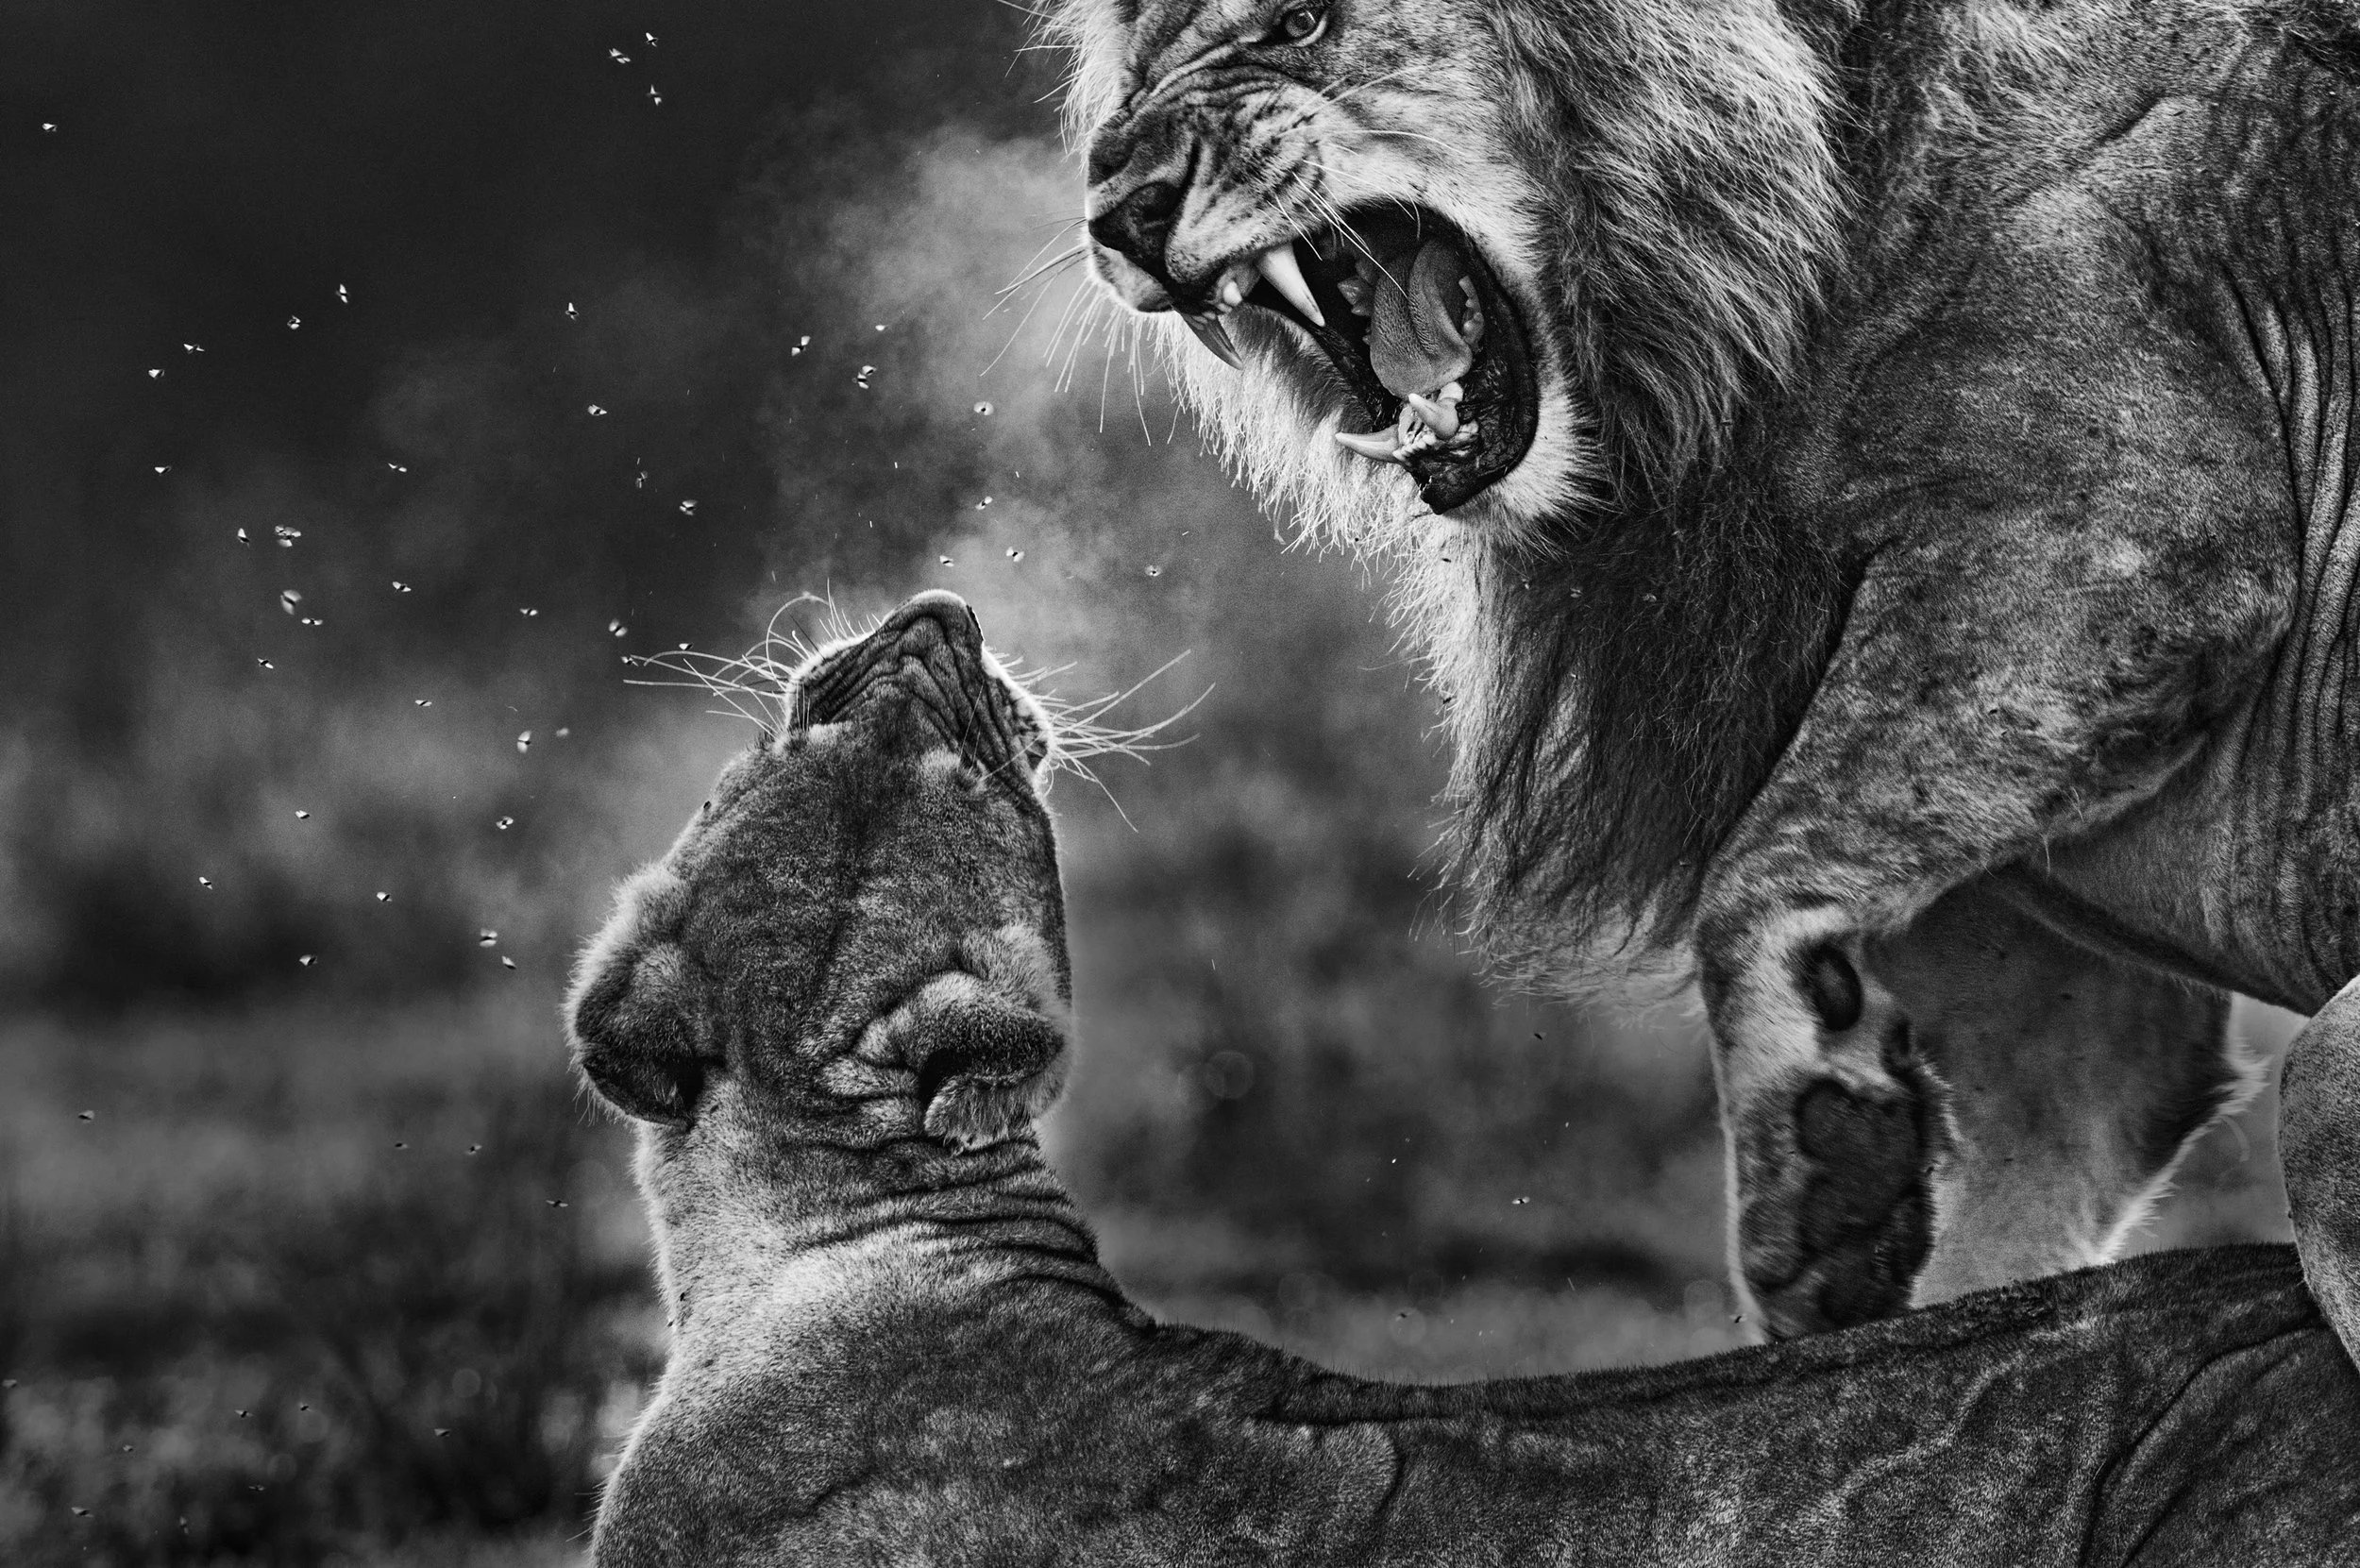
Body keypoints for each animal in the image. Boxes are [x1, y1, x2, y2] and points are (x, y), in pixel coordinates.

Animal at [1057, 0, 2360, 1337]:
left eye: (1301, 24)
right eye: (1137, 70)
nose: (1123, 215)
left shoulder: (2129, 536)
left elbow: (1762, 865)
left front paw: (1819, 1174)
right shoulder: (2062, 1014)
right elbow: (2011, 1230)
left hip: (2327, 1077)